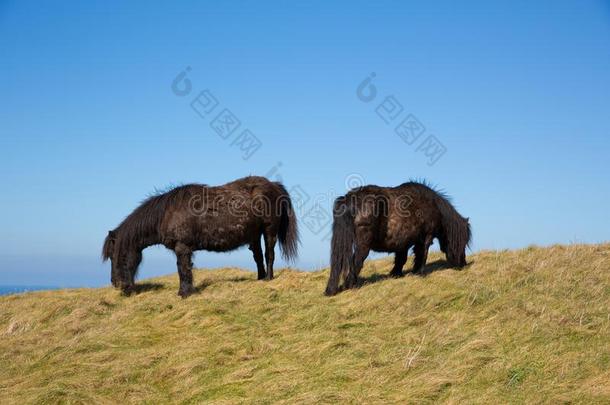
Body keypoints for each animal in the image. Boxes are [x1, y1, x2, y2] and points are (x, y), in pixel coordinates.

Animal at [103, 175, 298, 296]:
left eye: (117, 255)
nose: (116, 284)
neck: (167, 213)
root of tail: (273, 185)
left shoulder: (182, 247)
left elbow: (183, 270)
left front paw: (184, 293)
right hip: (254, 234)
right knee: (258, 257)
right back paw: (259, 279)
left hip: (269, 230)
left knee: (269, 254)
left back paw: (269, 278)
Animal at [324, 181, 470, 296]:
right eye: (463, 242)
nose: (463, 264)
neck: (432, 205)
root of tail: (349, 199)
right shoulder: (425, 238)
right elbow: (422, 255)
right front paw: (420, 273)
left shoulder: (403, 243)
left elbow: (401, 259)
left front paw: (396, 274)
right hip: (363, 246)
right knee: (356, 262)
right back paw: (350, 286)